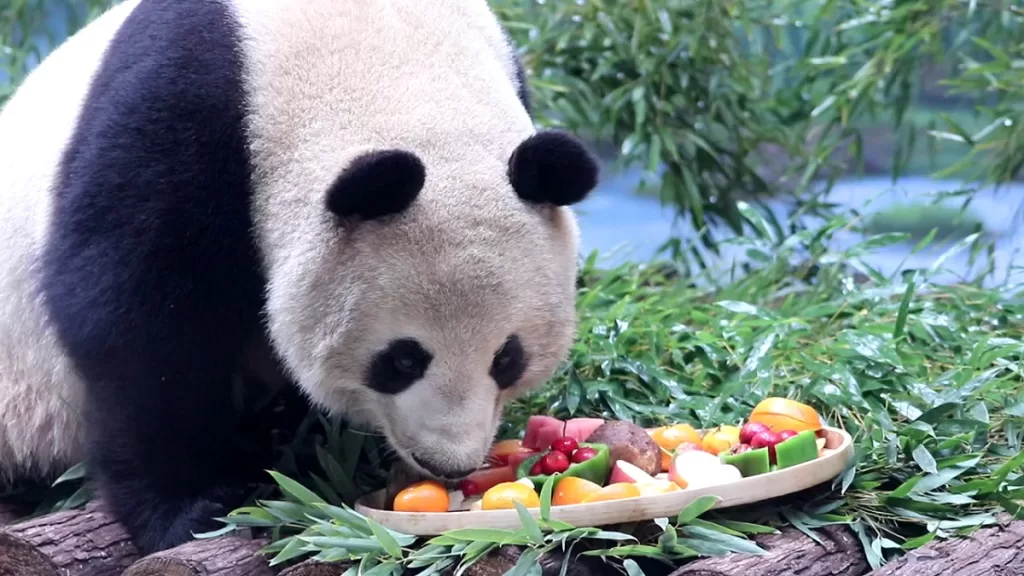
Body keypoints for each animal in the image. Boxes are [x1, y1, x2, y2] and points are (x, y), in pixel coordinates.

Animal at [0, 0, 598, 555]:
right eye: (403, 360)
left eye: (506, 359)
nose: (447, 462)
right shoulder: (179, 112)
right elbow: (136, 323)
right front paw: (191, 510)